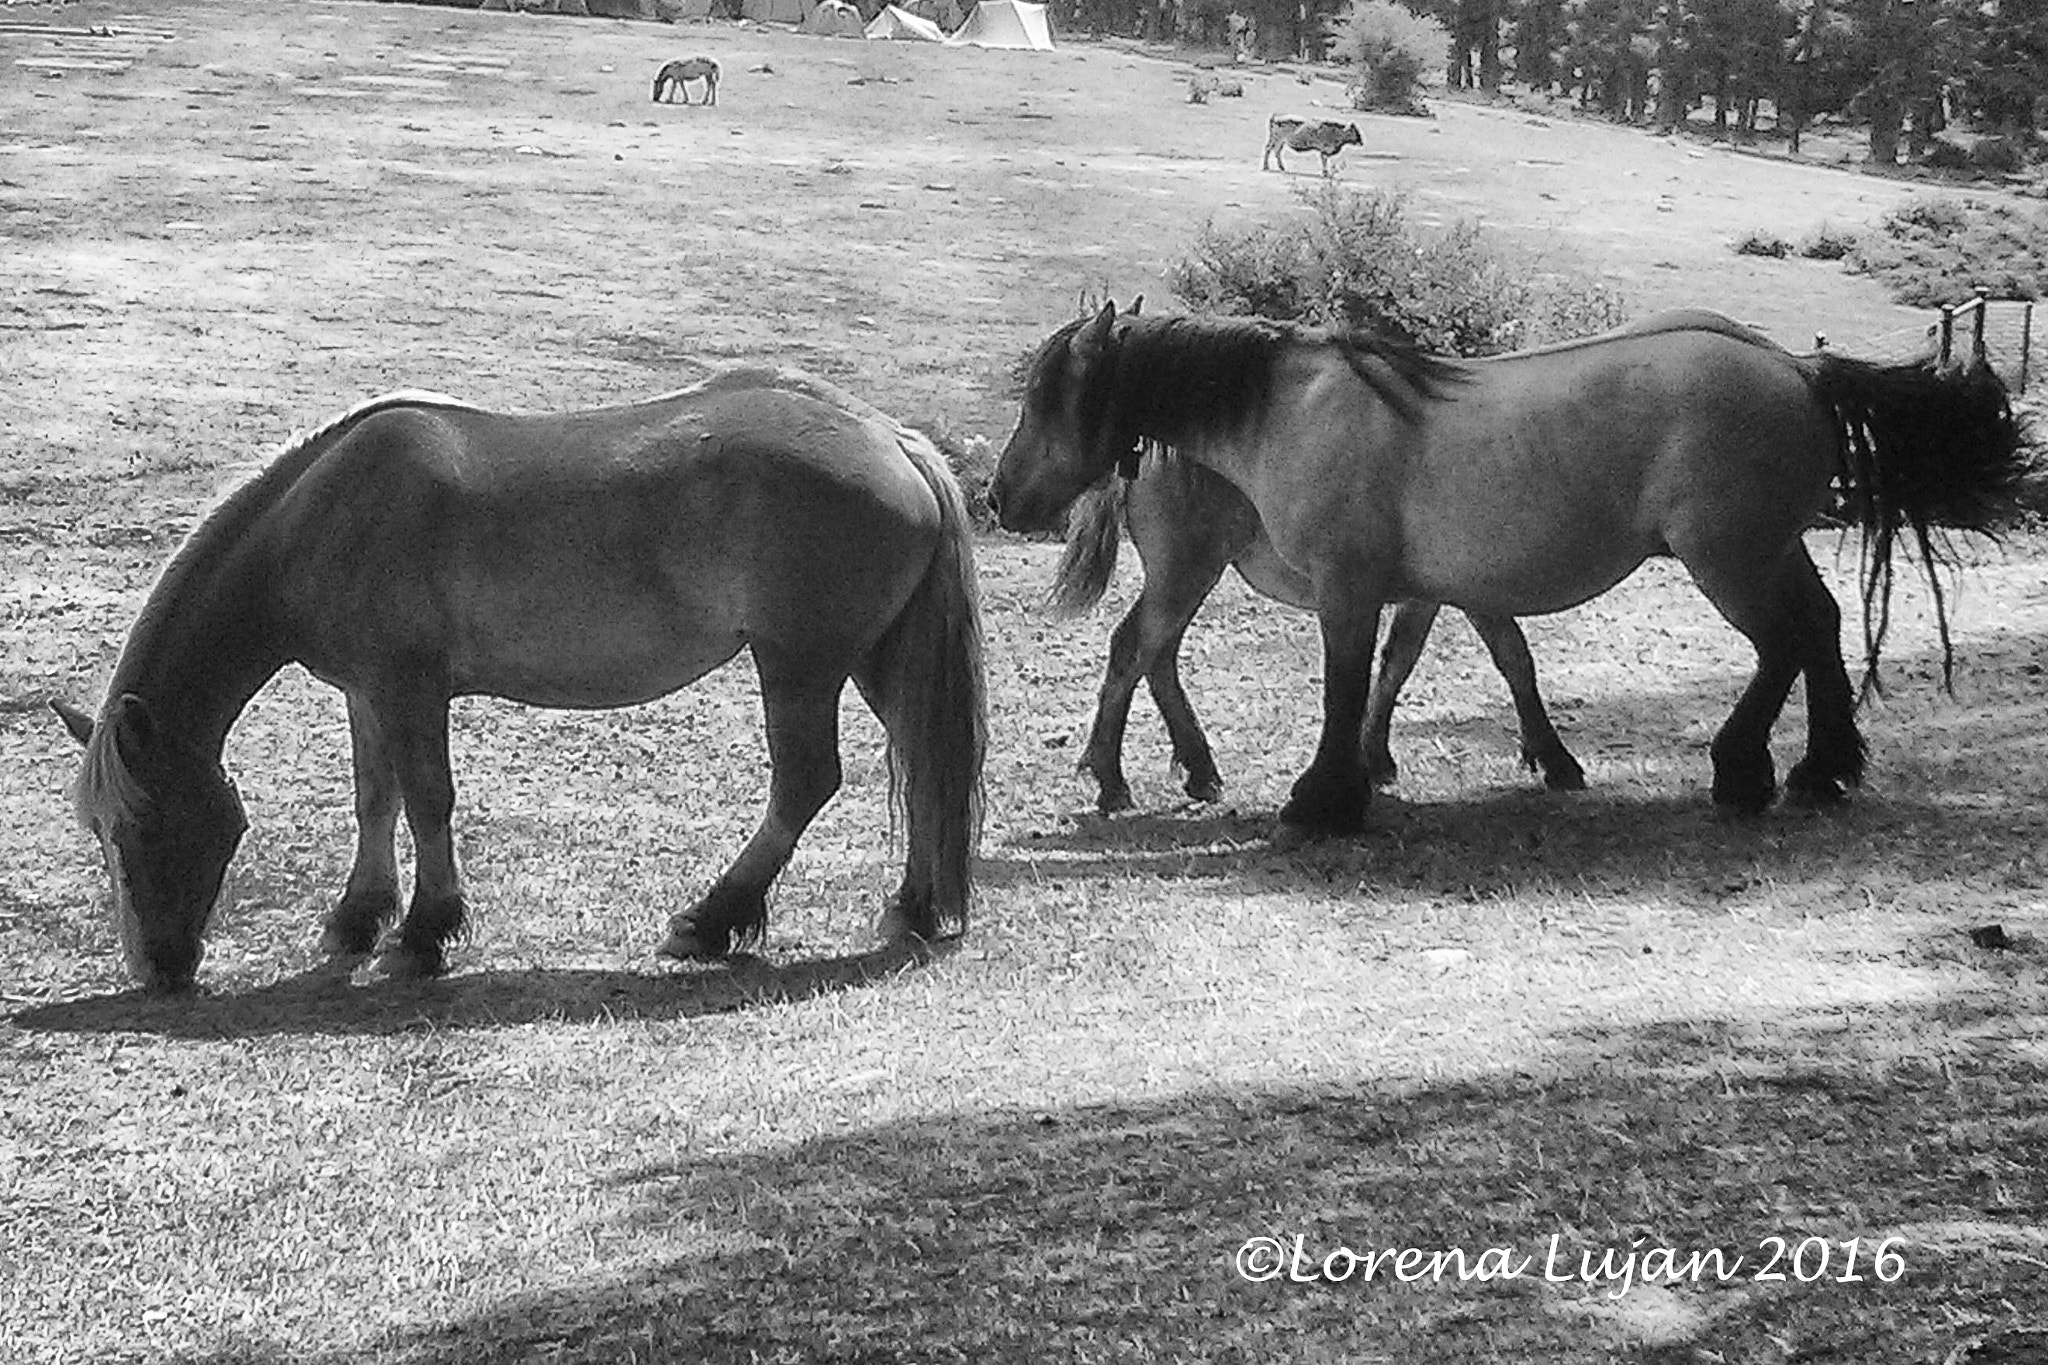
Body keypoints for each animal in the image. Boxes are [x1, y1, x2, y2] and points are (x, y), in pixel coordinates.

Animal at [53, 367, 986, 992]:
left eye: (141, 824)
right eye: (97, 830)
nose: (158, 966)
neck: (323, 516)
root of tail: (894, 440)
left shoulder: (411, 689)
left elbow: (428, 801)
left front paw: (423, 933)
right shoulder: (366, 691)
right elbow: (374, 798)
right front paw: (358, 918)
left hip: (799, 665)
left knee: (805, 783)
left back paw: (710, 921)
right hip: (873, 659)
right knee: (923, 763)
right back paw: (913, 907)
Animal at [1048, 459, 1584, 813]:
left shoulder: (1422, 596)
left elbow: (1398, 660)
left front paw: (1375, 757)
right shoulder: (1464, 591)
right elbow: (1513, 656)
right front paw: (1555, 758)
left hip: (1191, 572)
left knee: (1158, 656)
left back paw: (1199, 772)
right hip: (1186, 567)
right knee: (1134, 648)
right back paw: (1112, 780)